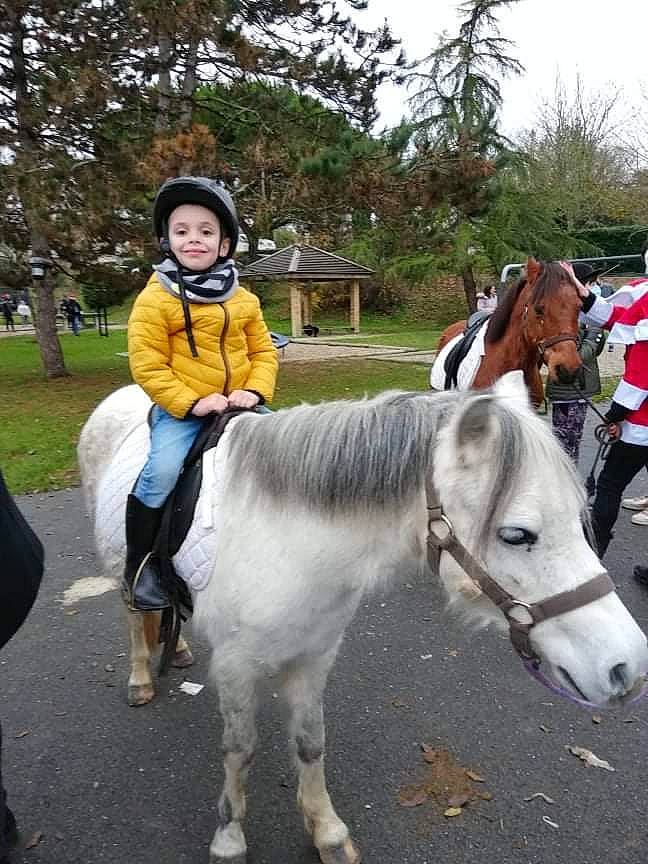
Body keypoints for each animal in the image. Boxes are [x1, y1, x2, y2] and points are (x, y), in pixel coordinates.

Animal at [78, 372, 648, 864]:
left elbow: (311, 743)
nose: (628, 669)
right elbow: (239, 750)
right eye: (516, 535)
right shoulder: (237, 666)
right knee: (133, 614)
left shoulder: (315, 654)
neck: (292, 543)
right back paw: (140, 676)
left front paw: (327, 832)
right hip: (121, 568)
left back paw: (176, 648)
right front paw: (230, 838)